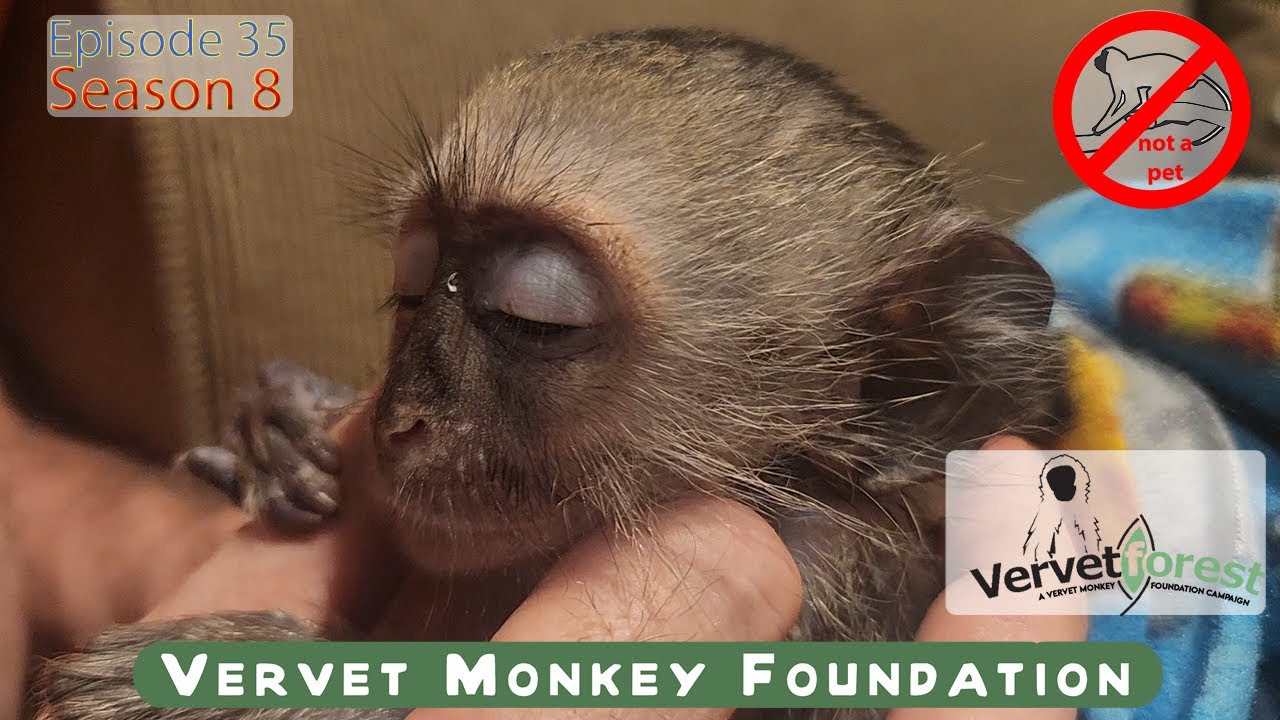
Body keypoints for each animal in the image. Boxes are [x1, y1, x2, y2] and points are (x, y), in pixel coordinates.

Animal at [32, 28, 1070, 720]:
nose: (400, 420)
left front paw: (244, 684)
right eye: (413, 287)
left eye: (531, 317)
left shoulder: (830, 582)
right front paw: (280, 421)